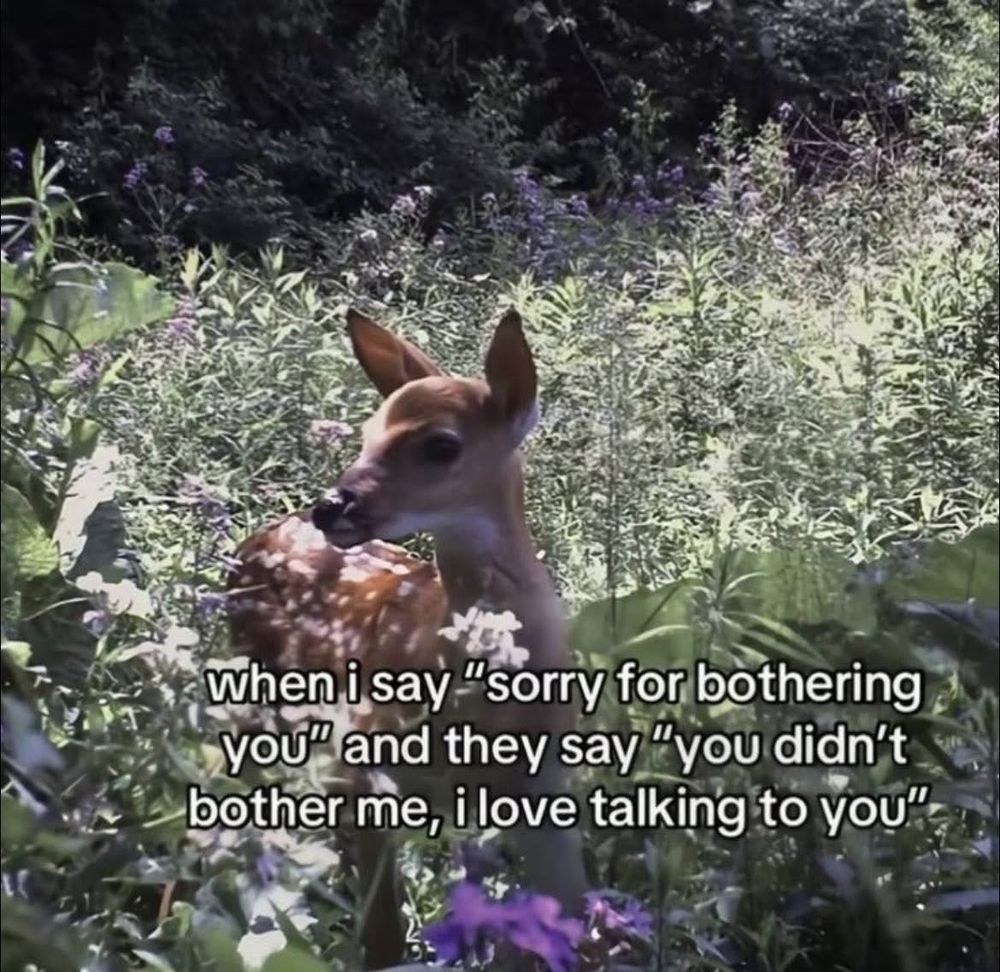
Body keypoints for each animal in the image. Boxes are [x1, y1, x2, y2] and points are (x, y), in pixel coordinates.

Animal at [226, 308, 590, 969]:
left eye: (441, 444)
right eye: (367, 432)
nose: (330, 506)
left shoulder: (545, 782)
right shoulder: (369, 764)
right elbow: (384, 940)